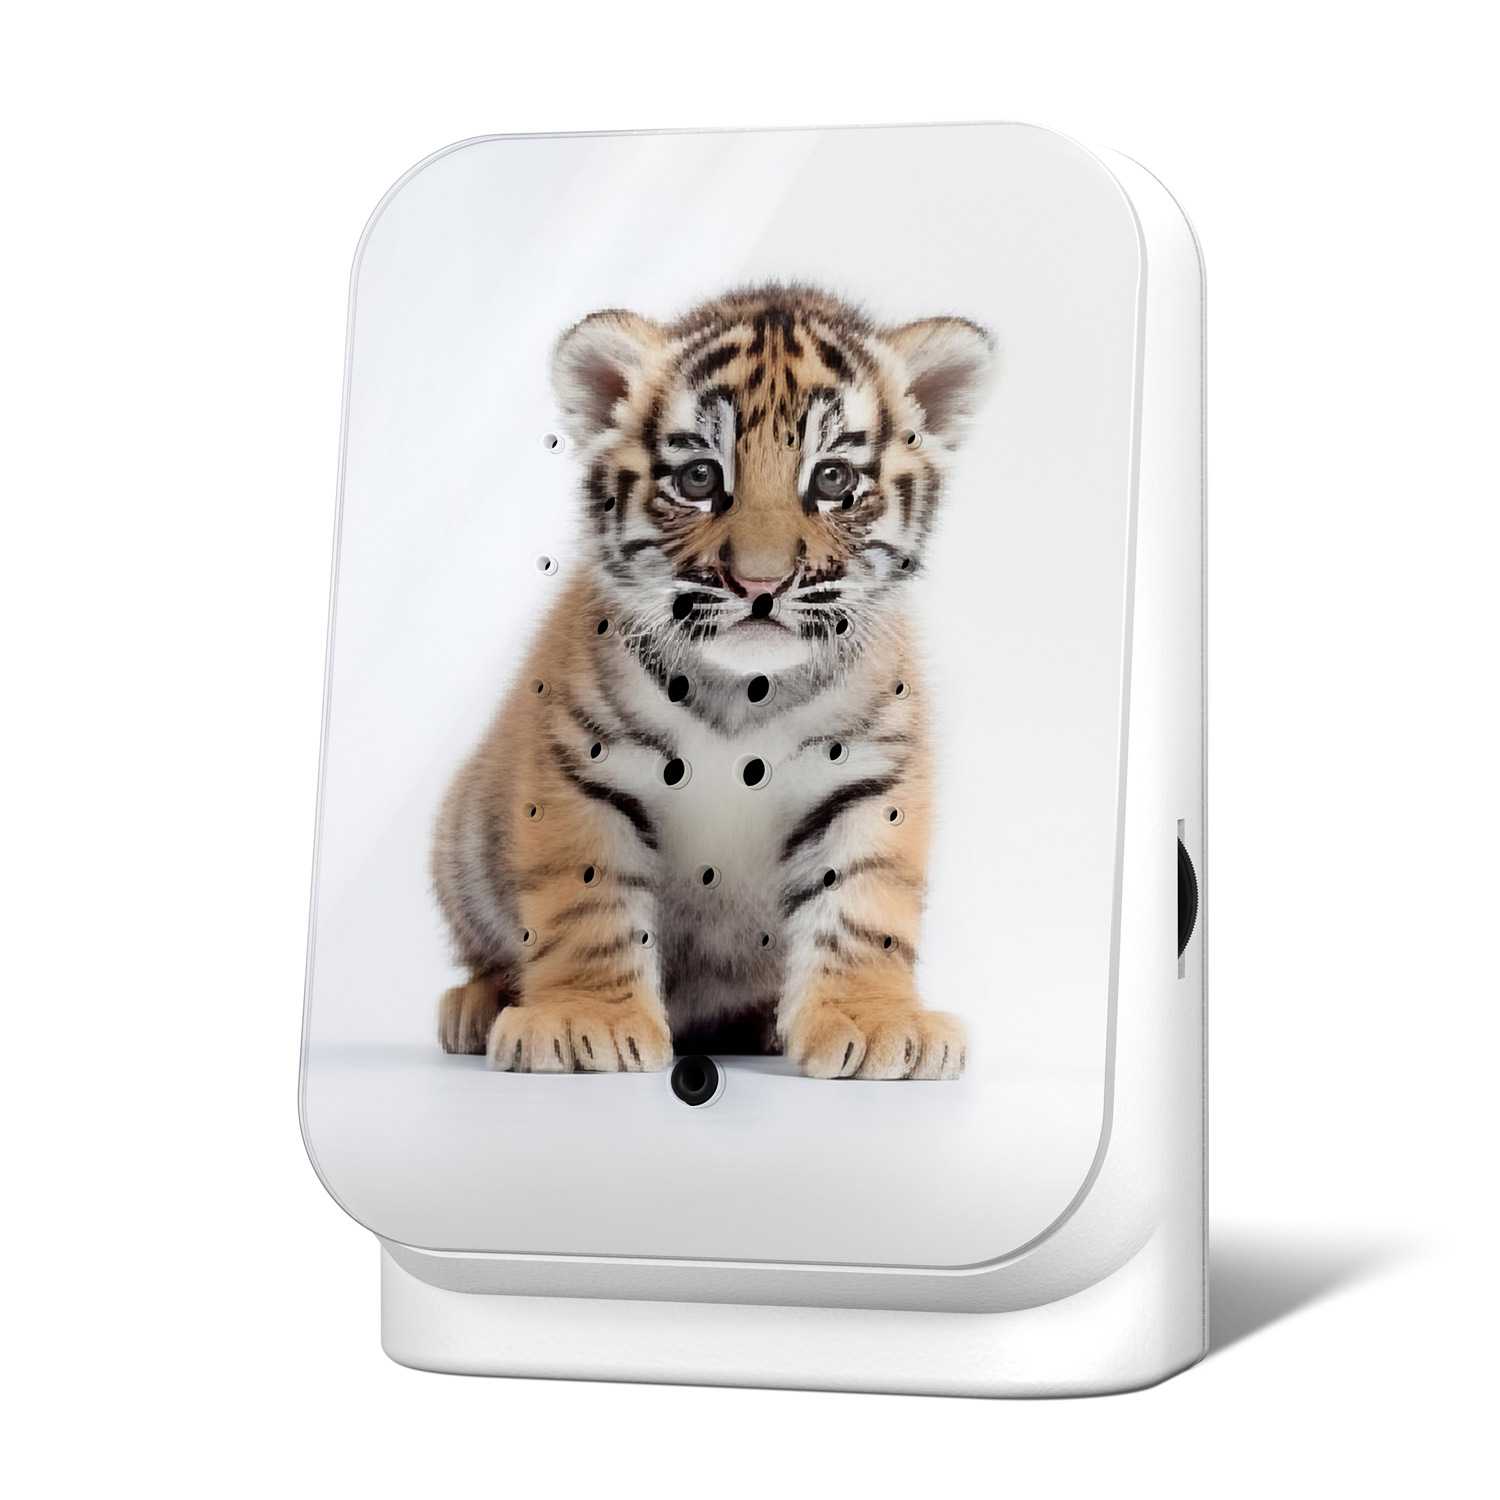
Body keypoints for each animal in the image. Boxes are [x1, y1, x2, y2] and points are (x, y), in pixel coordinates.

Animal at [432, 285, 994, 1078]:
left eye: (832, 478)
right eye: (700, 477)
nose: (760, 584)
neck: (744, 689)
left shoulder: (870, 775)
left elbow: (862, 903)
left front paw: (876, 1021)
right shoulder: (581, 769)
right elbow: (586, 901)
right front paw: (583, 1022)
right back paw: (477, 1008)